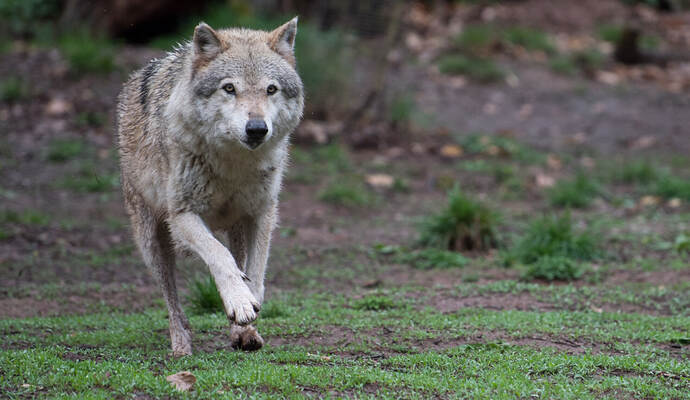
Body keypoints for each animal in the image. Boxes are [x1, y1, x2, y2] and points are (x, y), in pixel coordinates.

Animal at [117, 18, 304, 356]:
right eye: (229, 88)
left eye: (271, 89)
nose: (257, 129)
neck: (233, 163)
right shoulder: (182, 216)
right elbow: (219, 256)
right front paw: (239, 301)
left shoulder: (262, 214)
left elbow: (256, 271)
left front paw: (247, 308)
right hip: (152, 242)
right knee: (172, 301)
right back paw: (181, 345)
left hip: (236, 227)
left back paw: (244, 334)